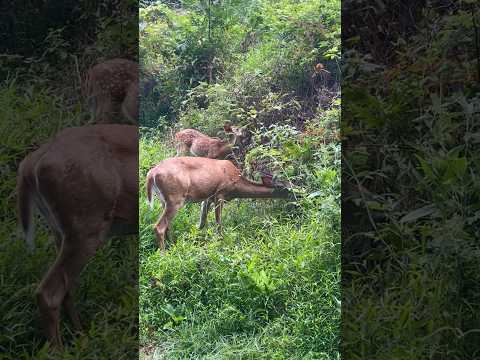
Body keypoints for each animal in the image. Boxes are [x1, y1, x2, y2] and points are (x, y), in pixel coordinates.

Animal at [16, 124, 137, 348]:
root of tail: (29, 164)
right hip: (86, 225)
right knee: (49, 292)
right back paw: (62, 350)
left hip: (61, 229)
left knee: (66, 288)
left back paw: (81, 339)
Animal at [144, 158, 292, 250]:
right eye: (285, 188)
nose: (297, 194)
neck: (237, 185)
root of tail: (151, 174)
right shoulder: (220, 194)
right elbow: (219, 224)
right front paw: (221, 242)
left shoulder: (207, 198)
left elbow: (201, 223)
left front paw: (196, 241)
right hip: (176, 199)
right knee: (159, 226)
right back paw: (164, 254)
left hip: (164, 201)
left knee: (167, 225)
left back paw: (172, 245)